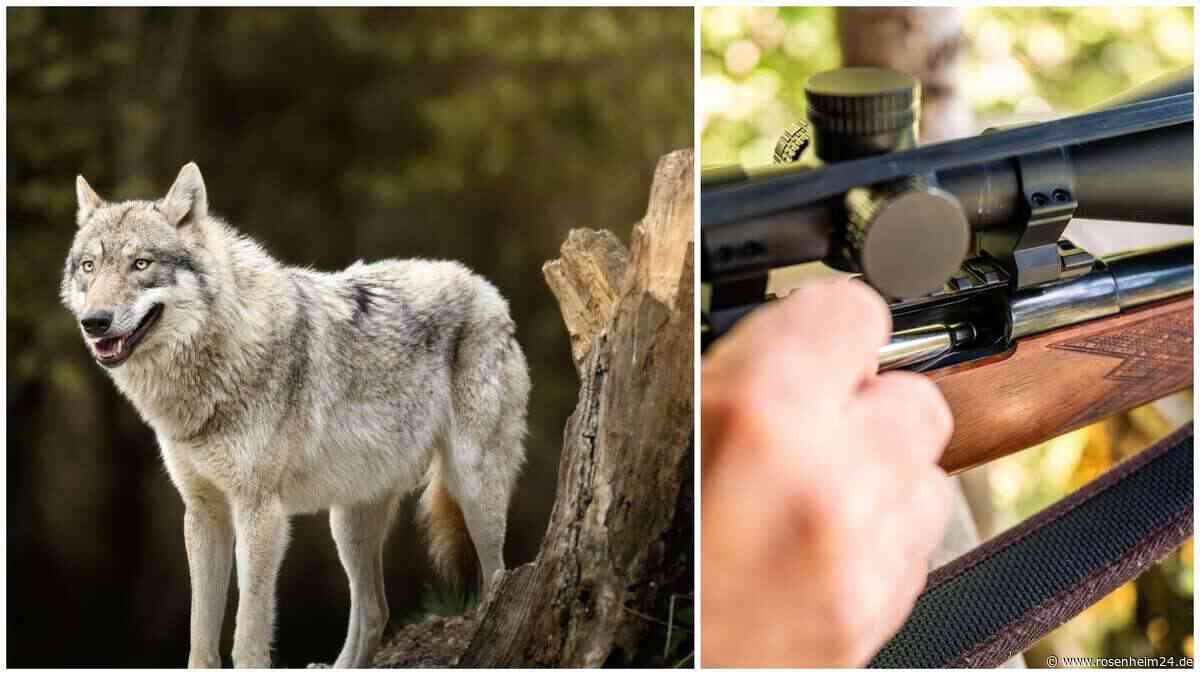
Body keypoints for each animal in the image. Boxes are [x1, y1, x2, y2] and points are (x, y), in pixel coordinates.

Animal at [61, 163, 530, 668]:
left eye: (141, 264)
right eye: (89, 266)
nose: (95, 322)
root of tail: (485, 287)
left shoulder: (260, 512)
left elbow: (247, 636)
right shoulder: (203, 511)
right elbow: (200, 639)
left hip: (472, 488)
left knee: (496, 577)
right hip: (348, 521)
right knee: (374, 612)